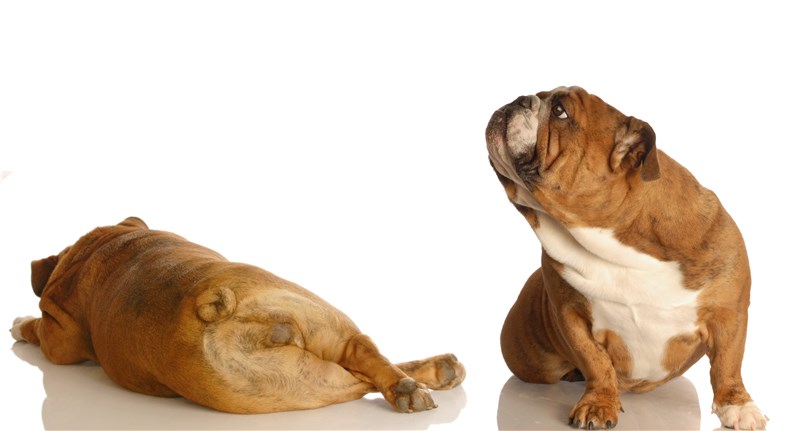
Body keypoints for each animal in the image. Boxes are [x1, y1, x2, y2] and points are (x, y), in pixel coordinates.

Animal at [11, 217, 465, 414]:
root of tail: (226, 304)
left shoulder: (57, 337)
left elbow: (36, 327)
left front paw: (19, 324)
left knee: (363, 370)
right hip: (303, 369)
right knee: (364, 367)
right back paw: (421, 380)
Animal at [485, 86, 766, 429]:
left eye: (560, 111)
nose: (519, 99)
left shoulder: (729, 313)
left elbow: (728, 363)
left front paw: (737, 405)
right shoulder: (569, 314)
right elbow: (595, 362)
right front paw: (598, 403)